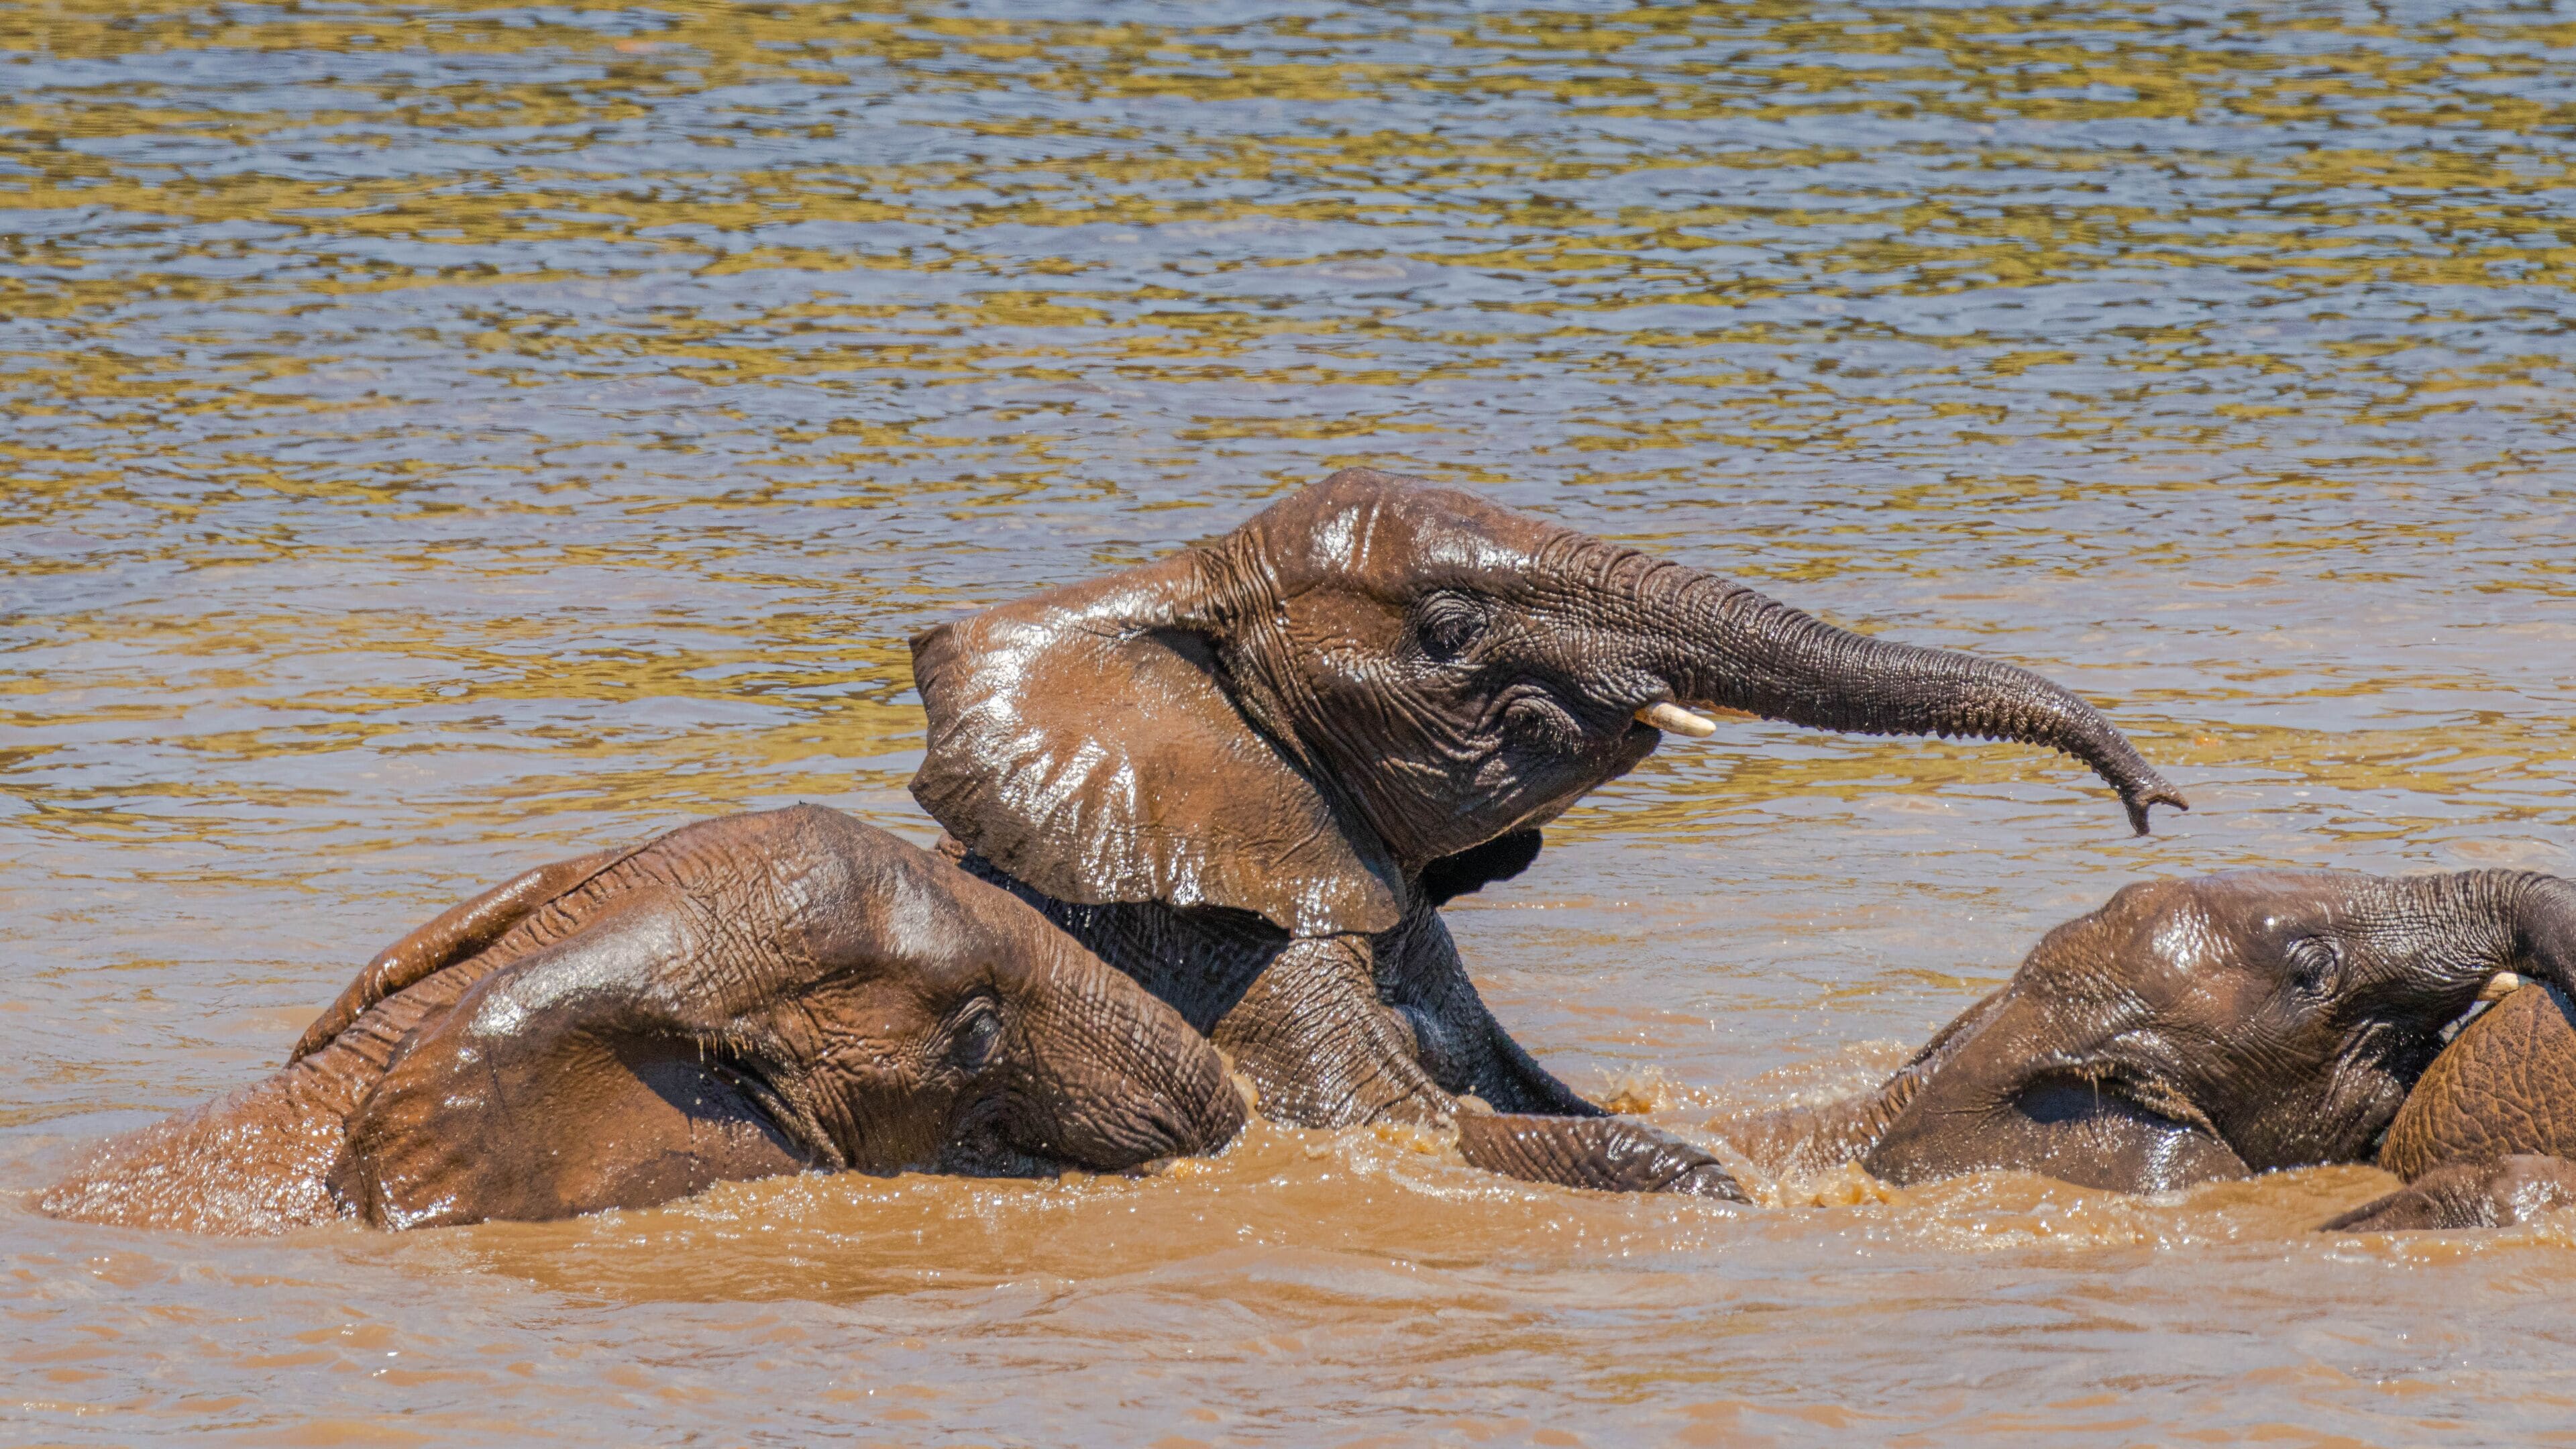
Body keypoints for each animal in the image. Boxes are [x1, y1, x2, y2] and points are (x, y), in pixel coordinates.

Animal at [909, 466, 2187, 1198]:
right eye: (1450, 628)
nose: (2154, 806)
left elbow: (1529, 1095)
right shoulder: (1234, 954)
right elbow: (1407, 1123)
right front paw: (1708, 1181)